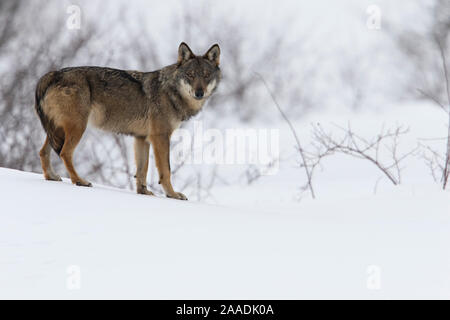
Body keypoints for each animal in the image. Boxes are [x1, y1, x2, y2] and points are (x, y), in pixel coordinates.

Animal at [34, 42, 221, 200]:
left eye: (206, 76)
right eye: (190, 75)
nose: (199, 93)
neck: (171, 92)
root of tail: (52, 74)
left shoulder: (142, 138)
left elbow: (142, 170)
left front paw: (143, 192)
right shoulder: (160, 137)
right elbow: (165, 170)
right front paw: (172, 195)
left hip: (58, 131)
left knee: (43, 152)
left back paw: (51, 177)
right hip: (77, 128)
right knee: (65, 153)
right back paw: (80, 181)